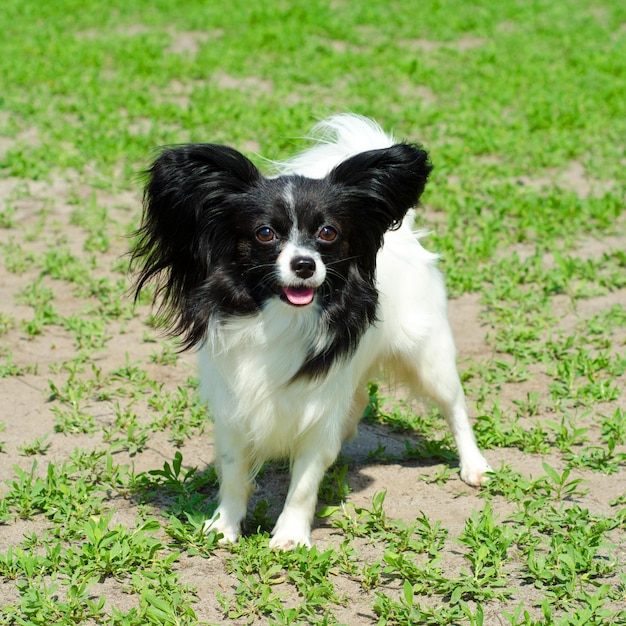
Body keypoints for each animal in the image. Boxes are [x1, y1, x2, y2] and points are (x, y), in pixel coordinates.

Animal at [132, 114, 490, 548]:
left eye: (328, 233)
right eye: (265, 233)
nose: (304, 264)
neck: (280, 317)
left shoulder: (318, 408)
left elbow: (304, 482)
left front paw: (290, 536)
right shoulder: (234, 406)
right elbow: (233, 473)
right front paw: (224, 526)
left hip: (427, 358)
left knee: (454, 406)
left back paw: (474, 465)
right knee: (359, 399)